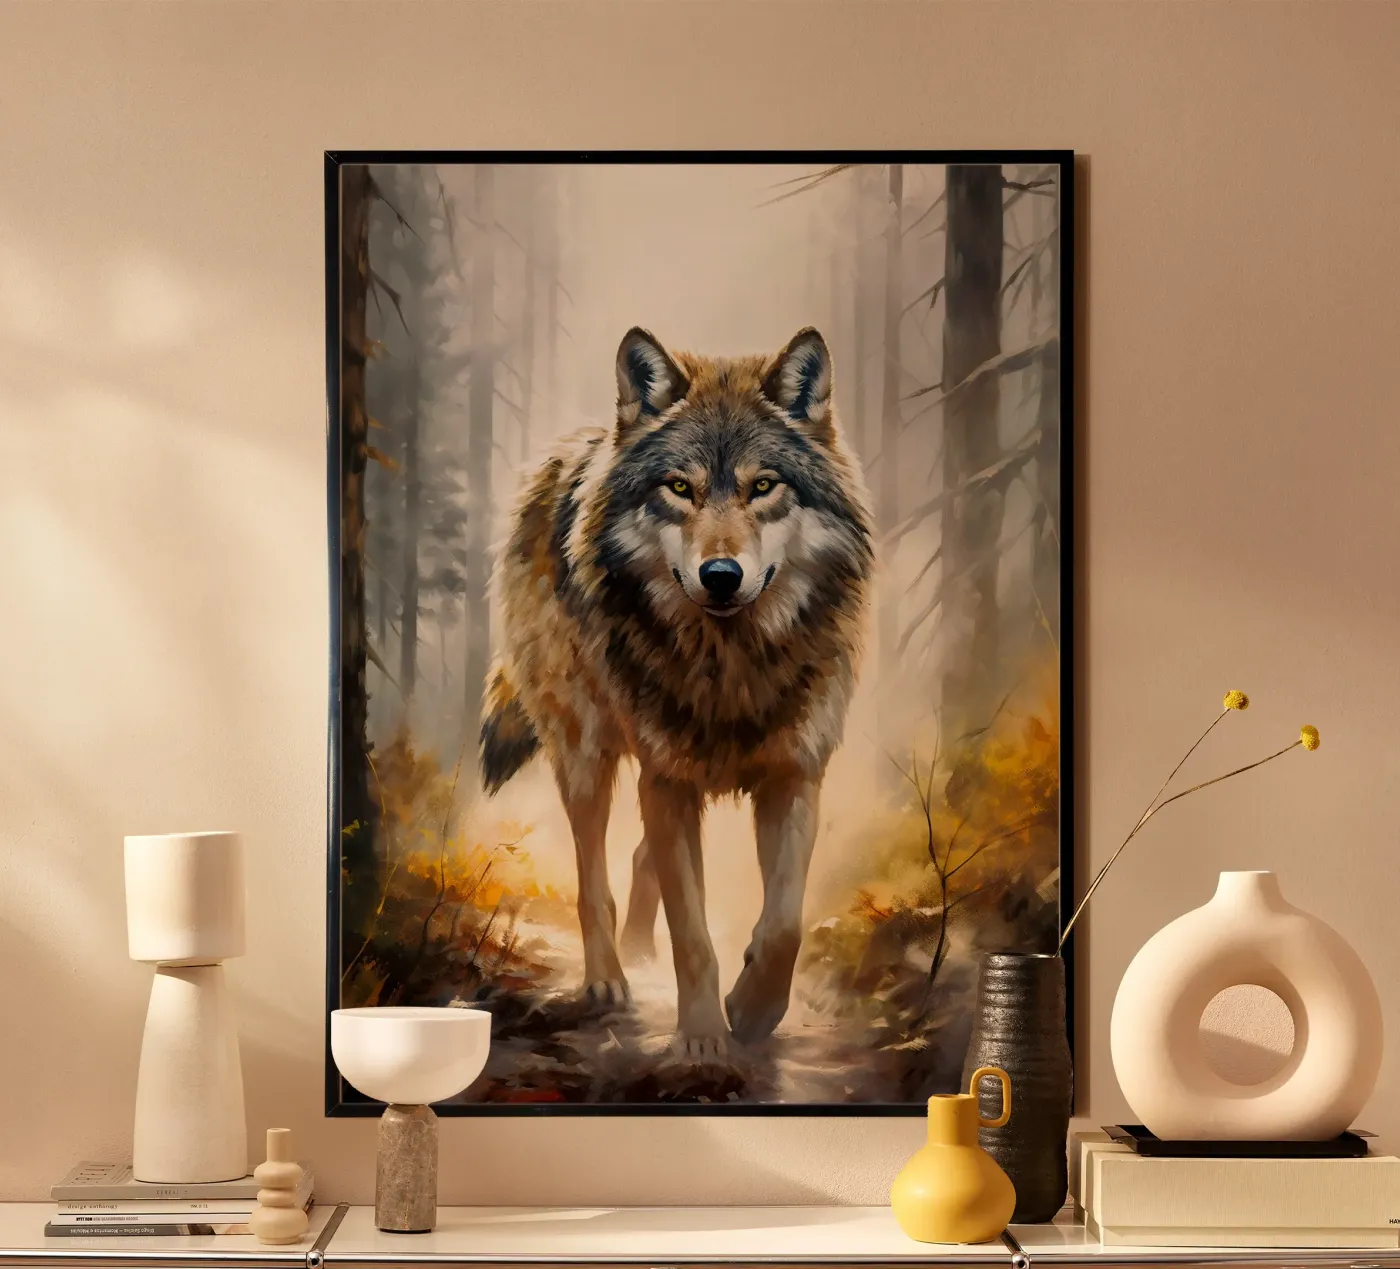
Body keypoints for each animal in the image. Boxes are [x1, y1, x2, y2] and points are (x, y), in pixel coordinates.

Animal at [480, 325, 873, 1059]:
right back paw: (608, 979)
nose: (721, 575)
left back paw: (639, 950)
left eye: (763, 486)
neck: (730, 666)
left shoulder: (793, 775)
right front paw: (702, 1039)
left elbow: (784, 925)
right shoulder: (667, 779)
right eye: (680, 488)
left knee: (641, 858)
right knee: (594, 878)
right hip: (587, 754)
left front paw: (751, 1010)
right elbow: (691, 932)